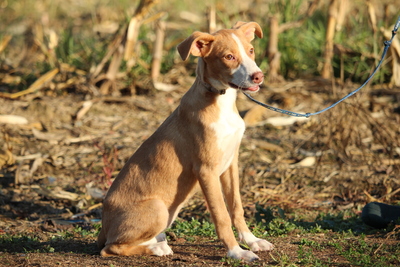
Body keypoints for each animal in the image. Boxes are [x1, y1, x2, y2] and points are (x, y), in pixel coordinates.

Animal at [96, 20, 276, 262]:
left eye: (251, 50)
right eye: (229, 57)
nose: (258, 76)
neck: (221, 102)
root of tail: (104, 226)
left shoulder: (231, 164)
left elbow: (236, 207)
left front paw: (252, 241)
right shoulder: (206, 170)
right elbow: (221, 216)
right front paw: (236, 252)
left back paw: (157, 242)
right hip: (158, 208)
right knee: (109, 248)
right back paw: (157, 249)